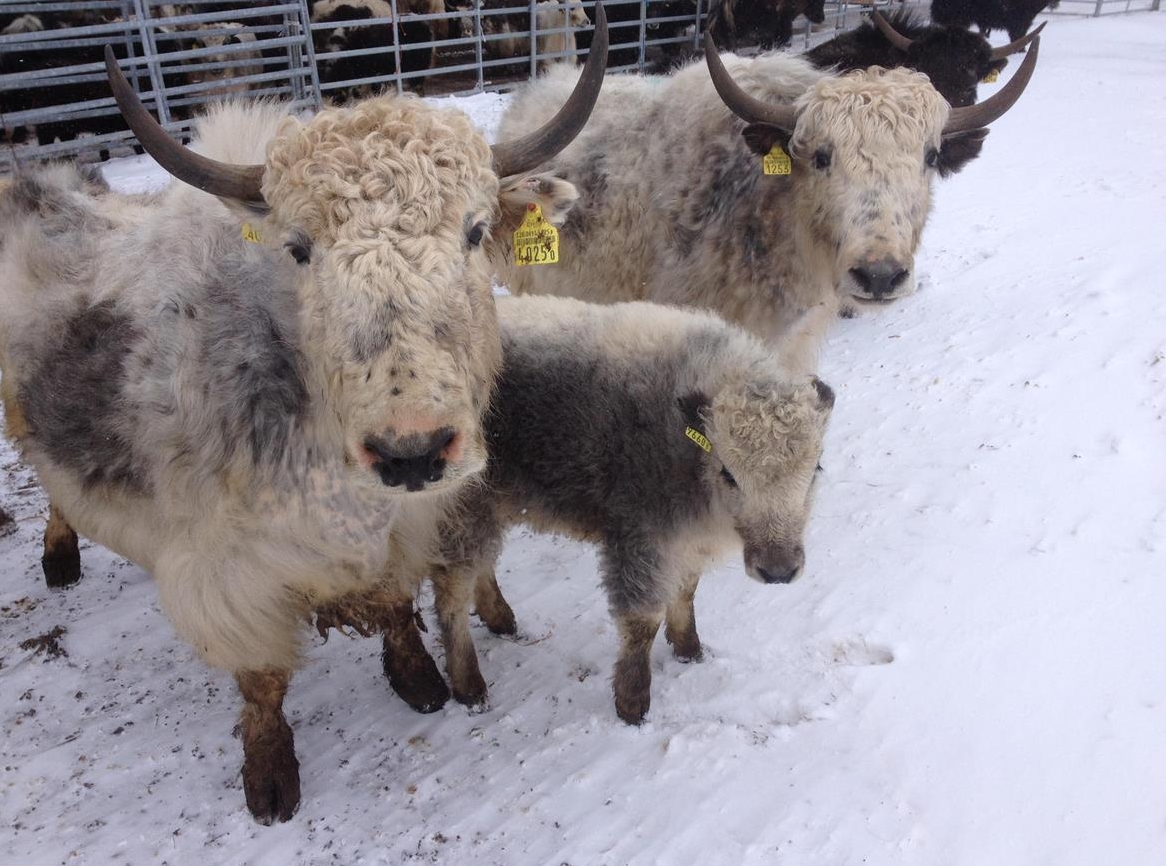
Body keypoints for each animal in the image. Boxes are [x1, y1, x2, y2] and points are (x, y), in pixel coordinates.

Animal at [0, 16, 606, 824]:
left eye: (476, 231)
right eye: (299, 248)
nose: (411, 452)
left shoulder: (404, 525)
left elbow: (395, 606)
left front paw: (419, 681)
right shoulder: (226, 573)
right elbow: (261, 681)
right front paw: (269, 779)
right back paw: (60, 557)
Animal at [332, 294, 833, 724]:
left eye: (815, 468)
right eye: (729, 472)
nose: (778, 570)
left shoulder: (686, 542)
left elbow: (686, 593)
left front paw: (690, 649)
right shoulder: (639, 540)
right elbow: (641, 621)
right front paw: (632, 703)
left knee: (479, 570)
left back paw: (501, 620)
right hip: (462, 514)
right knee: (450, 593)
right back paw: (469, 686)